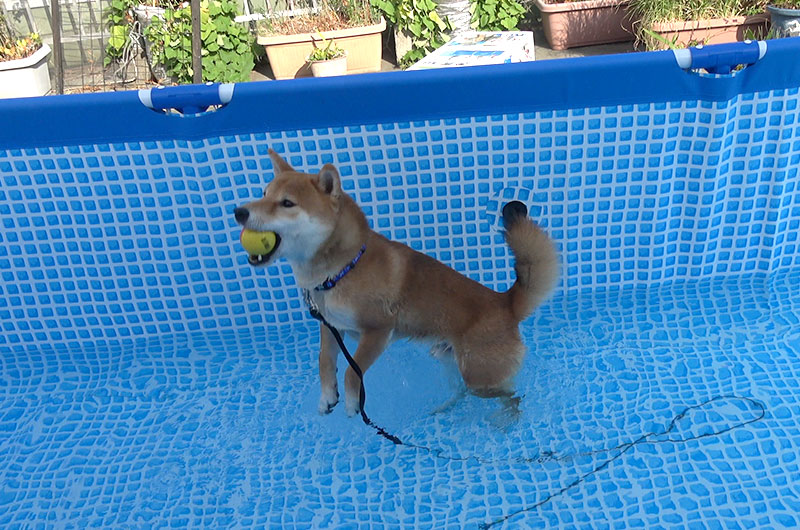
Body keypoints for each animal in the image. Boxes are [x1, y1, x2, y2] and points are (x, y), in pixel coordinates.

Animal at [231, 150, 556, 416]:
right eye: (263, 193)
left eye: (287, 203)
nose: (239, 212)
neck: (341, 271)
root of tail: (507, 303)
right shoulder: (331, 326)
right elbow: (324, 362)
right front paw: (327, 397)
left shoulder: (378, 330)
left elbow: (353, 371)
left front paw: (352, 403)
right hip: (449, 360)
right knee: (463, 391)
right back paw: (444, 409)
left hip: (480, 377)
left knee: (509, 397)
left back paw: (504, 420)